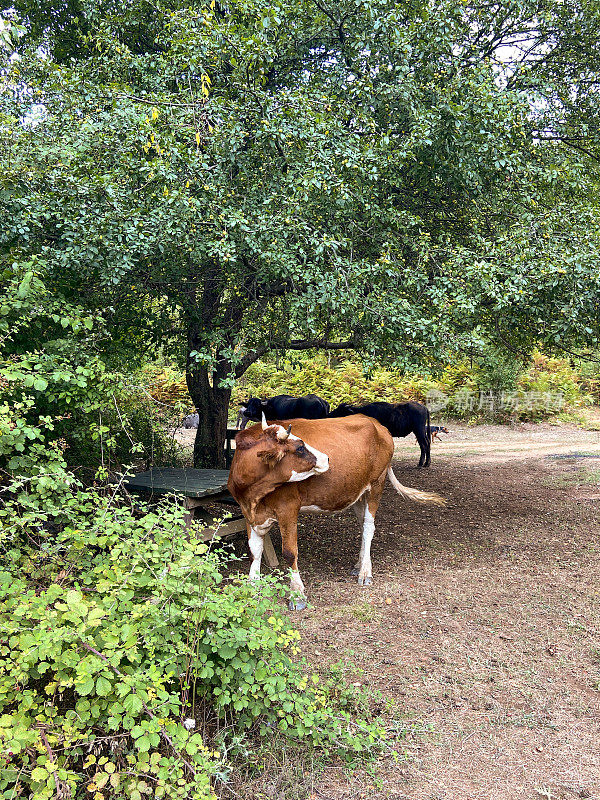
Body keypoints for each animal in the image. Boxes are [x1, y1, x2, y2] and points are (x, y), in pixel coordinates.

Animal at [227, 416, 442, 608]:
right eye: (300, 448)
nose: (327, 458)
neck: (253, 497)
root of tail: (377, 424)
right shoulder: (248, 513)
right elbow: (254, 551)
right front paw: (251, 587)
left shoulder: (288, 508)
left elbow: (289, 552)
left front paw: (297, 595)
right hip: (358, 492)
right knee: (363, 526)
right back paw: (359, 564)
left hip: (377, 484)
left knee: (369, 527)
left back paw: (365, 572)